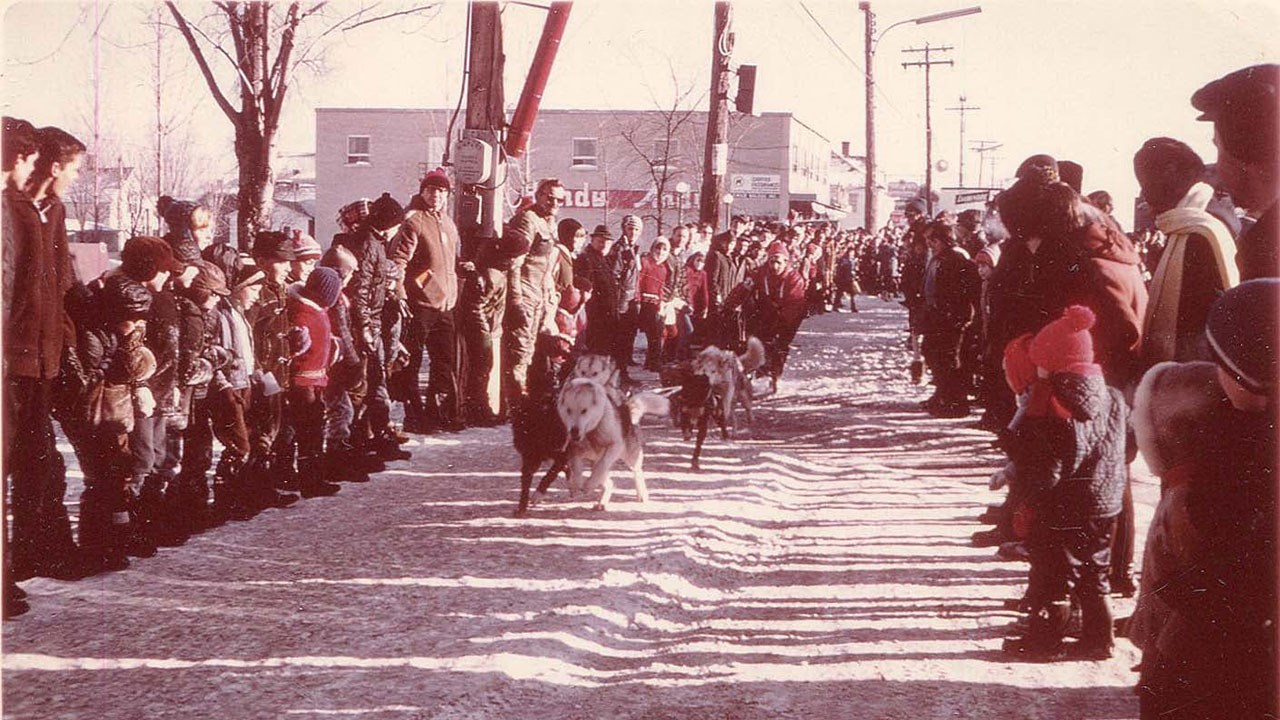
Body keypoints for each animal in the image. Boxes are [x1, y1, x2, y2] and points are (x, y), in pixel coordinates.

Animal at [556, 377, 669, 511]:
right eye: (568, 410)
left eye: (584, 411)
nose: (574, 431)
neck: (591, 432)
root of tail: (626, 411)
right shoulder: (574, 452)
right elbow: (577, 468)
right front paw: (577, 484)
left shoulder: (614, 447)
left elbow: (602, 466)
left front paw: (589, 485)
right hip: (596, 461)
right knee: (608, 481)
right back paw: (601, 503)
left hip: (630, 457)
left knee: (636, 472)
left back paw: (642, 494)